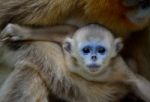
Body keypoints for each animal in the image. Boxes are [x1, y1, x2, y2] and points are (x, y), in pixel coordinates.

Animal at [0, 24, 150, 102]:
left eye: (101, 50)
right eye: (86, 50)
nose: (94, 57)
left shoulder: (120, 69)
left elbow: (138, 82)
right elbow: (67, 29)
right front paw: (20, 31)